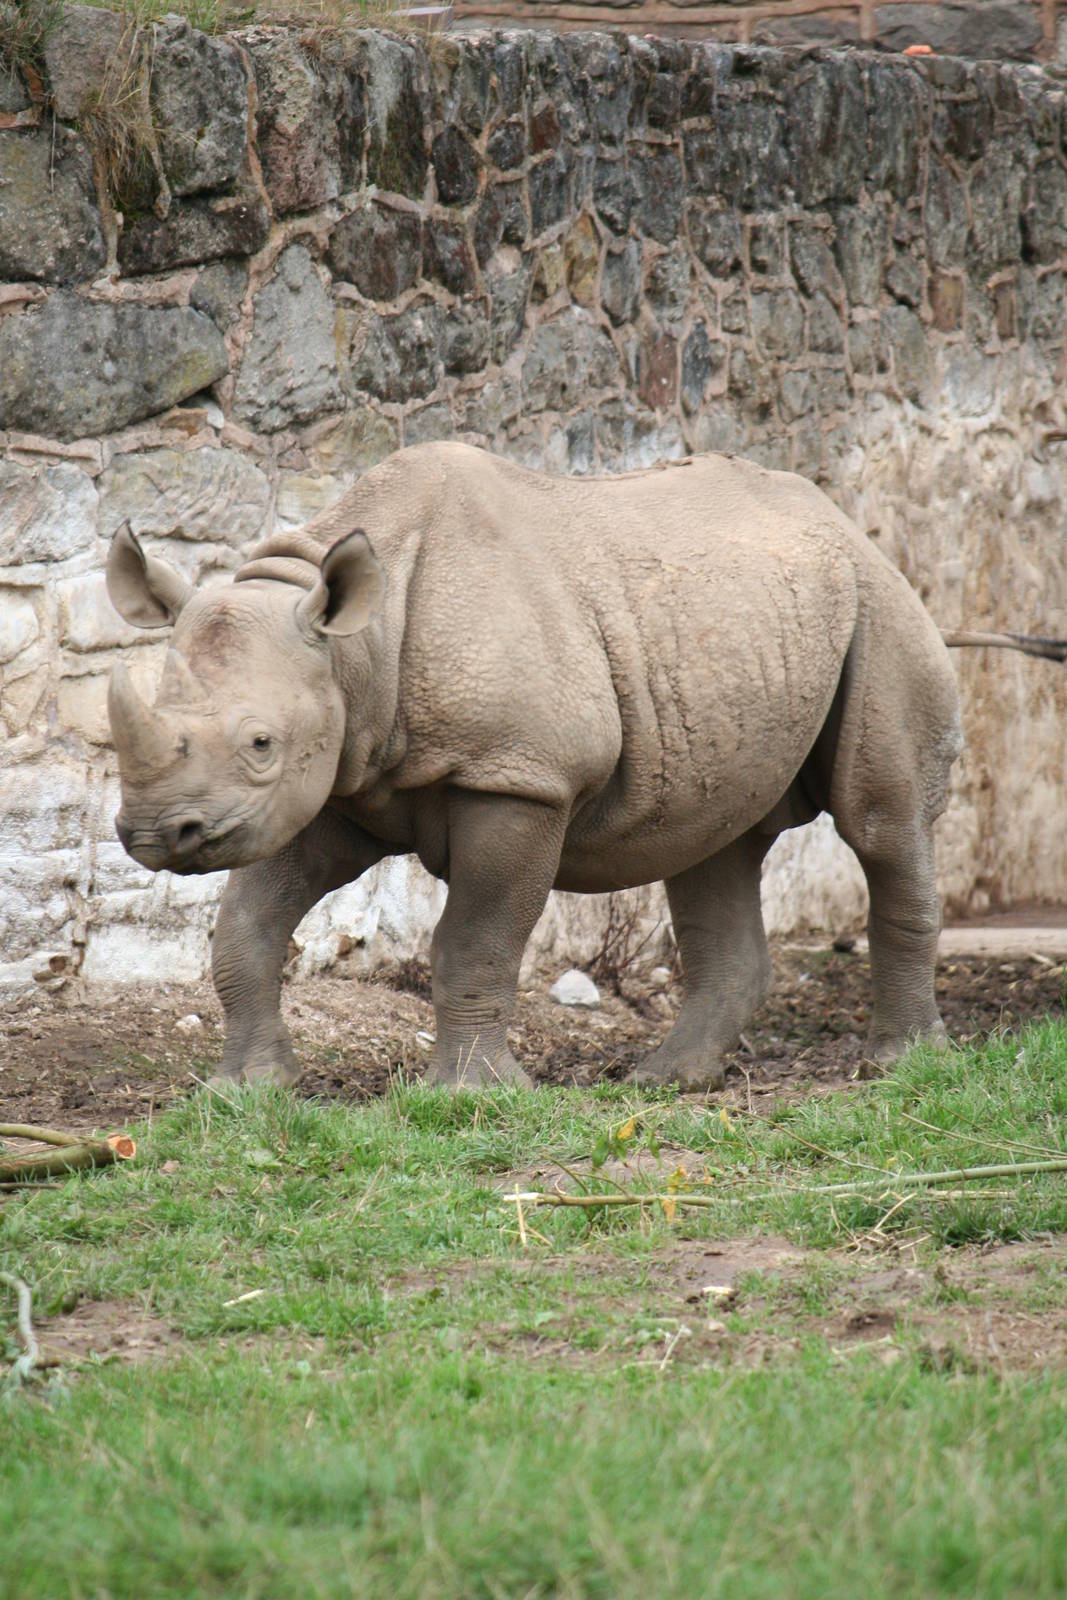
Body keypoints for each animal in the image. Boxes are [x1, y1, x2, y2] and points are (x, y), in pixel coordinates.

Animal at [106, 441, 964, 1092]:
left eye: (260, 744)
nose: (155, 833)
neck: (354, 648)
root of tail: (845, 522)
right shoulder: (328, 783)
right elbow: (245, 928)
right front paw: (247, 1092)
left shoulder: (520, 778)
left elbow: (475, 937)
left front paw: (468, 1097)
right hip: (748, 617)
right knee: (711, 843)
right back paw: (665, 1081)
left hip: (879, 606)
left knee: (881, 823)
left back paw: (897, 1066)